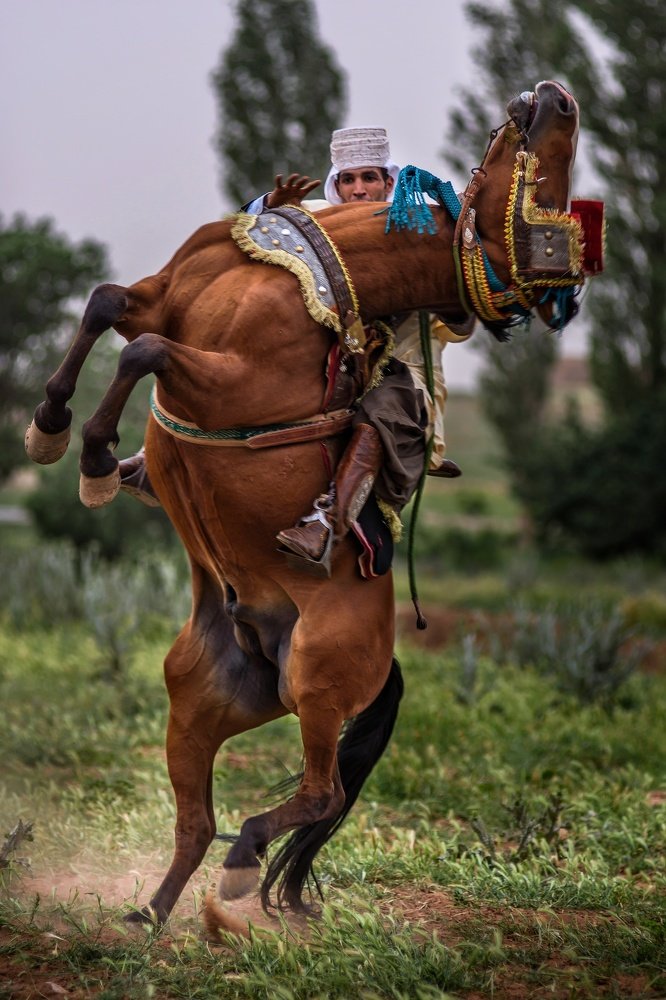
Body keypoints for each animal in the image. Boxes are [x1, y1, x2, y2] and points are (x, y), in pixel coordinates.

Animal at [25, 81, 593, 931]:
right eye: (547, 185)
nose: (559, 97)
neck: (319, 272)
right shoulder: (160, 298)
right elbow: (106, 304)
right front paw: (52, 431)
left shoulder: (228, 379)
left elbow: (145, 352)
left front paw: (92, 456)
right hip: (197, 703)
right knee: (196, 822)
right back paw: (149, 917)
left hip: (319, 689)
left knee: (317, 793)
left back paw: (239, 868)